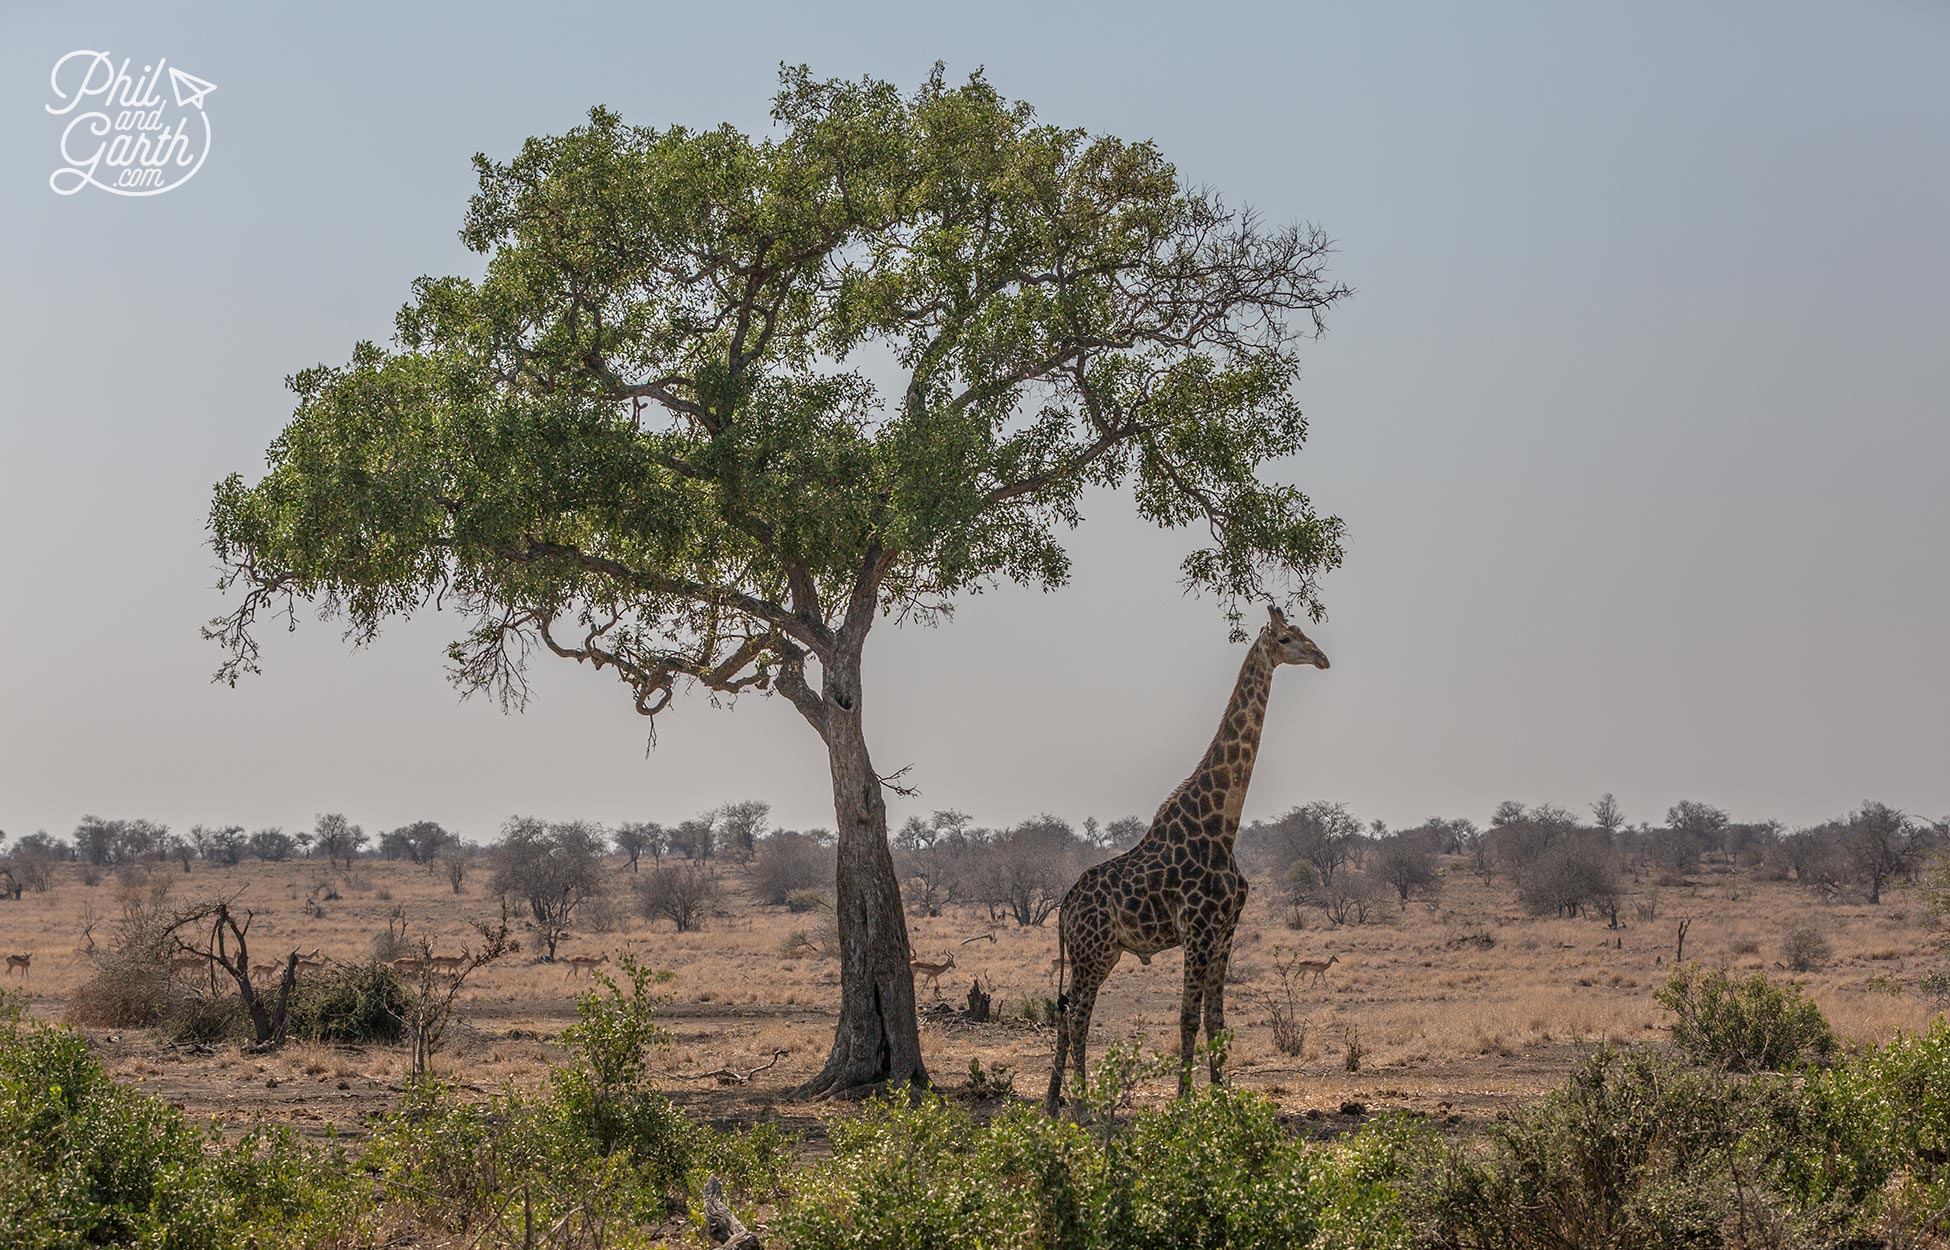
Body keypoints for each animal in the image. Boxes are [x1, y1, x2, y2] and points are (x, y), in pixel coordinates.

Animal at [1045, 604, 1333, 1107]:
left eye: (1302, 631)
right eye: (1284, 638)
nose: (1322, 658)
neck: (1222, 826)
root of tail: (1063, 909)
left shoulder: (1225, 930)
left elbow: (1216, 1020)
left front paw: (1221, 1099)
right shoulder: (1197, 929)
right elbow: (1188, 1019)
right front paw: (1183, 1103)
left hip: (1100, 954)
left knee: (1067, 1015)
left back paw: (1056, 1104)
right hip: (1091, 952)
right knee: (1076, 1017)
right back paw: (1081, 1102)